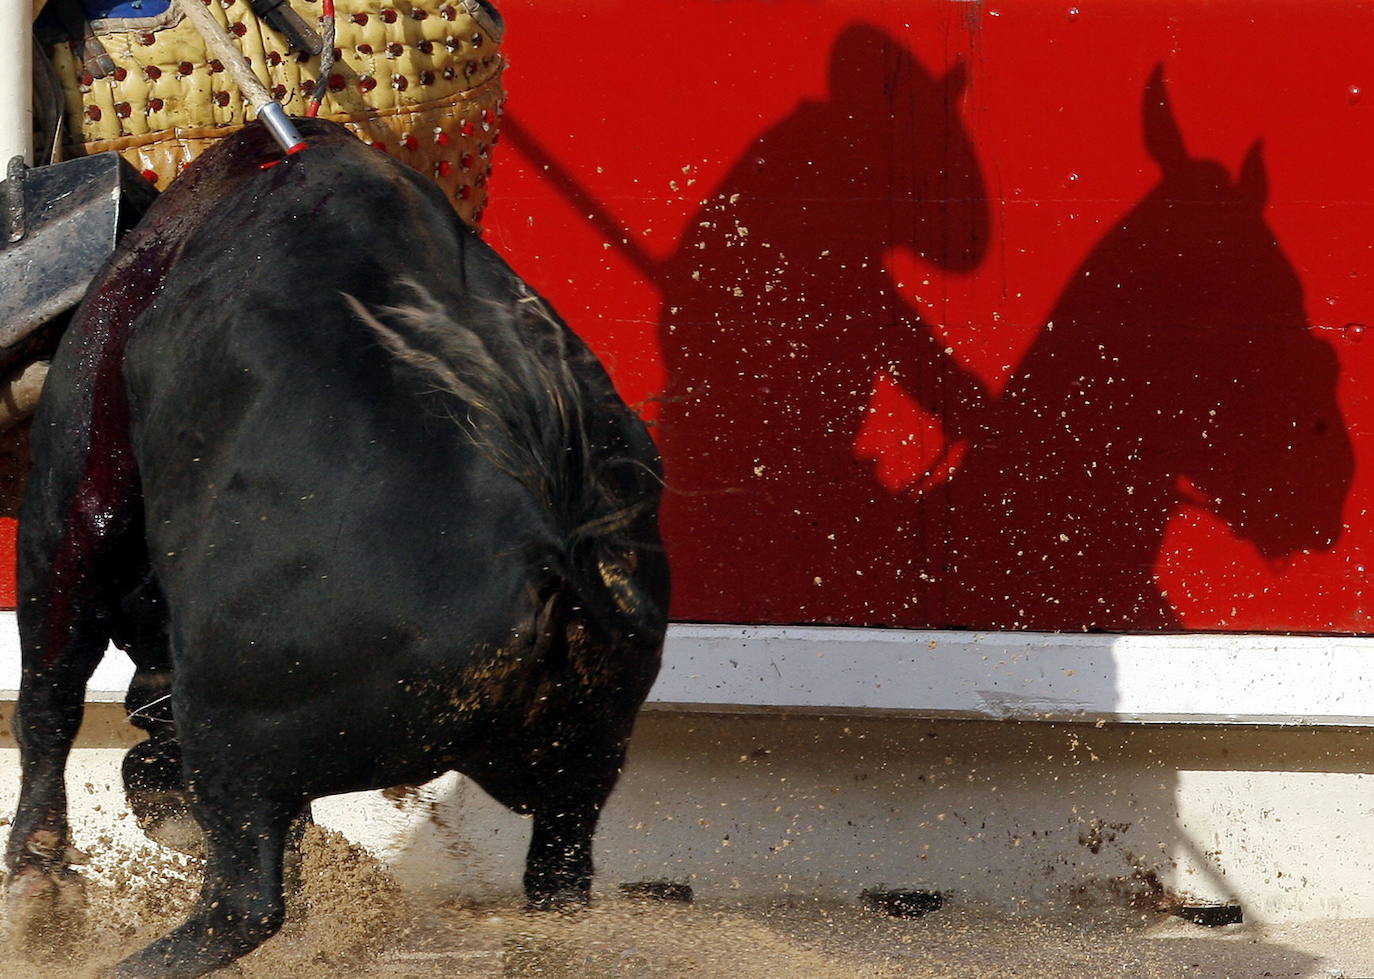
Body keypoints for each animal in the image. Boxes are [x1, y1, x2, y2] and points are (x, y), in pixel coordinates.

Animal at [4, 118, 670, 972]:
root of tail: (550, 544)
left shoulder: (73, 495)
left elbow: (49, 689)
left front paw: (38, 892)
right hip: (586, 759)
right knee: (561, 879)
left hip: (233, 733)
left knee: (242, 897)